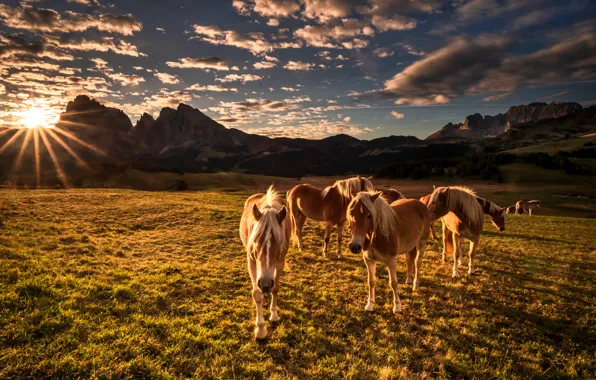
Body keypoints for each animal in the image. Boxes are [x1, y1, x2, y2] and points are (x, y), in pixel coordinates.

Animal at [240, 186, 292, 340]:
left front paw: (274, 315)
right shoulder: (251, 260)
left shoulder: (280, 261)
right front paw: (261, 329)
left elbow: (275, 288)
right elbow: (257, 294)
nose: (265, 284)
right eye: (255, 240)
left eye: (280, 241)